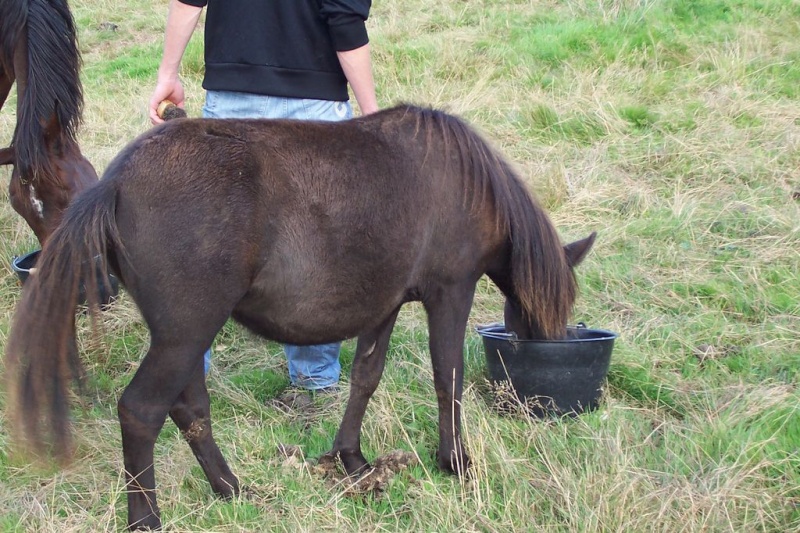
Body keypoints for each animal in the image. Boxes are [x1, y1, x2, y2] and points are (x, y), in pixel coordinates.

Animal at [4, 104, 592, 528]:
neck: (465, 179)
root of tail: (116, 182)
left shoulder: (385, 303)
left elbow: (365, 377)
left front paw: (352, 459)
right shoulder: (450, 291)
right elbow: (448, 377)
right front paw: (456, 462)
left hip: (181, 337)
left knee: (189, 409)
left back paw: (231, 489)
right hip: (186, 332)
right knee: (143, 411)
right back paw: (147, 519)